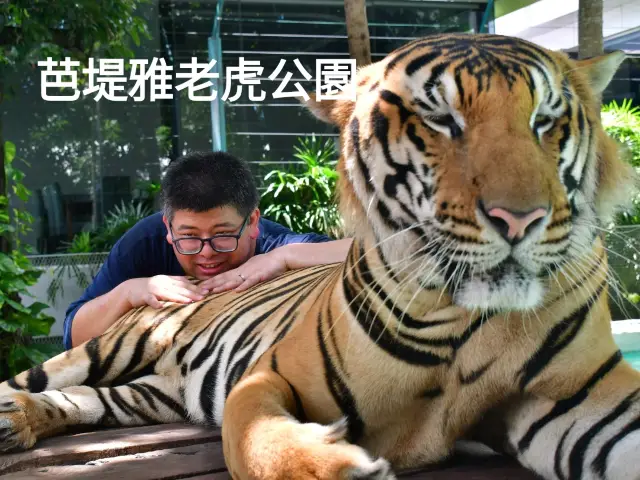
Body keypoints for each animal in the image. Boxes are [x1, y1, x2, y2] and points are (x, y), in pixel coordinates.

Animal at [0, 32, 639, 480]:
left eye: (546, 121)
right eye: (440, 120)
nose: (521, 219)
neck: (467, 317)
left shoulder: (580, 393)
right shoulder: (270, 374)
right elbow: (256, 437)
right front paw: (339, 468)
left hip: (146, 394)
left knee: (83, 400)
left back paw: (21, 422)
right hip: (112, 344)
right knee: (41, 377)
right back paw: (10, 411)